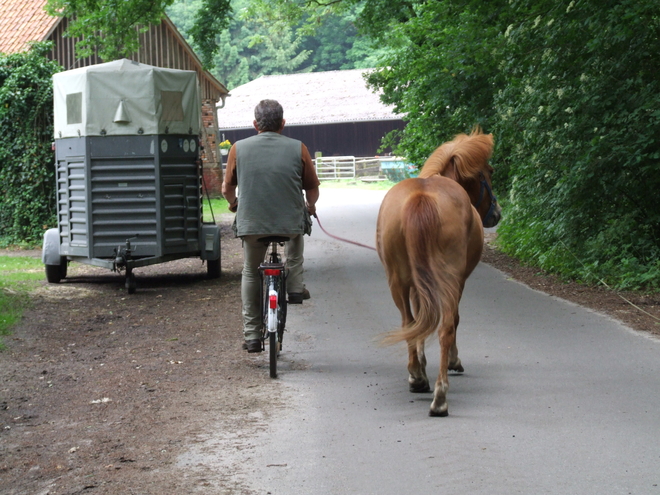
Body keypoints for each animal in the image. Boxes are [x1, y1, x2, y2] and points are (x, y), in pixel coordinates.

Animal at [376, 130, 500, 416]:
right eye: (488, 172)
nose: (497, 214)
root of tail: (421, 199)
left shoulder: (416, 285)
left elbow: (420, 319)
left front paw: (420, 366)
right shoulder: (459, 282)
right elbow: (453, 320)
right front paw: (454, 361)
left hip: (398, 282)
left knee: (409, 322)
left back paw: (417, 377)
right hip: (449, 281)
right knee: (446, 327)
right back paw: (440, 395)